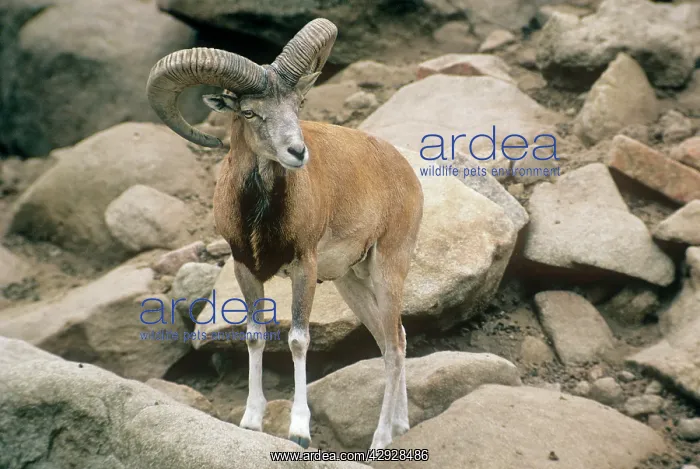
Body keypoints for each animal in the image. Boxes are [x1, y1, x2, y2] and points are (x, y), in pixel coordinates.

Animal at [146, 18, 424, 450]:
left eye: (298, 106)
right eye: (249, 111)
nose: (297, 152)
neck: (262, 215)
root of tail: (406, 172)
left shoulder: (304, 268)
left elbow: (297, 339)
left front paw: (299, 431)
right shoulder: (245, 268)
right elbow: (255, 336)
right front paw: (250, 421)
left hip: (388, 269)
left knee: (394, 346)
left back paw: (380, 441)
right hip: (352, 282)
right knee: (394, 337)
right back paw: (401, 426)